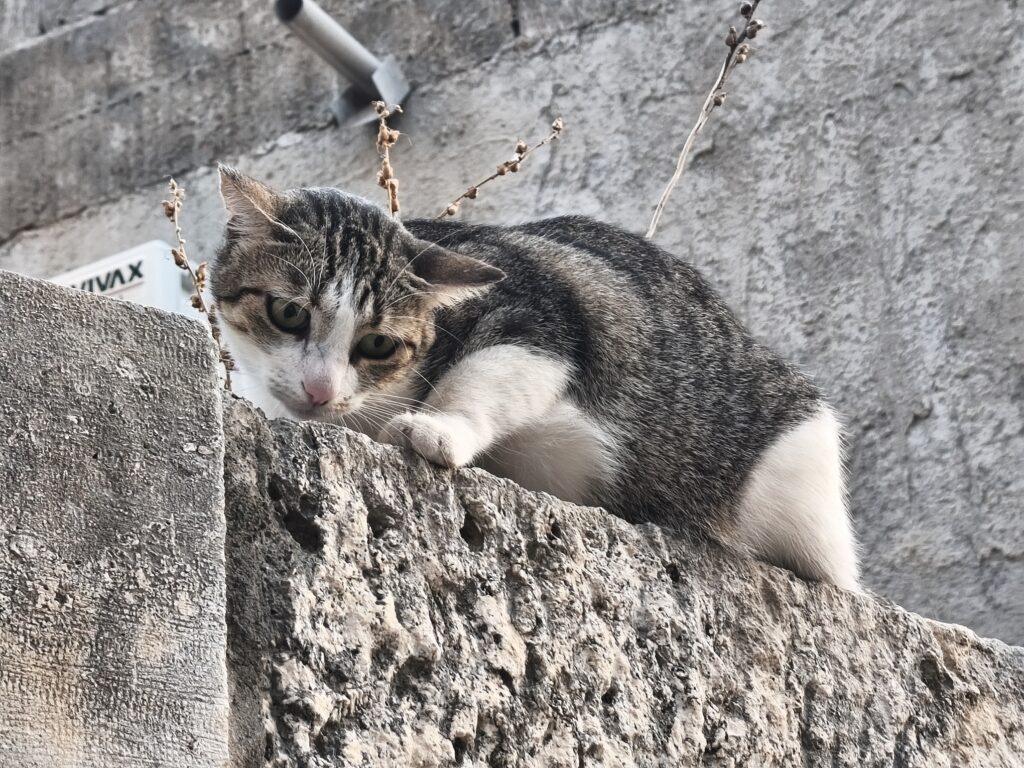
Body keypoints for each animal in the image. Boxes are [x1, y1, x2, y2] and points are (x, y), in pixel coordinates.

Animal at [211, 166, 860, 591]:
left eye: (377, 344)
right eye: (288, 313)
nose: (320, 389)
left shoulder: (539, 314)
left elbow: (494, 370)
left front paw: (435, 427)